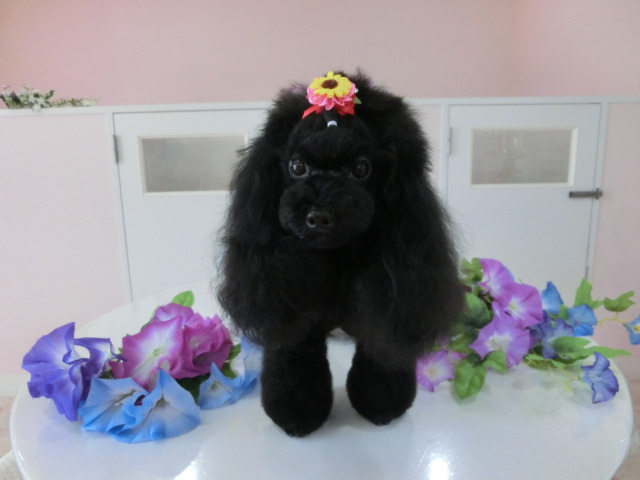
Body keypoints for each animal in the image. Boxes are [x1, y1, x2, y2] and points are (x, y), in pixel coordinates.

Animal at [217, 71, 463, 437]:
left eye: (361, 169)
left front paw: (381, 407)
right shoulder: (293, 313)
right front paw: (296, 417)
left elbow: (380, 354)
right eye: (297, 166)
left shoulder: (383, 309)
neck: (334, 259)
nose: (319, 215)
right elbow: (294, 363)